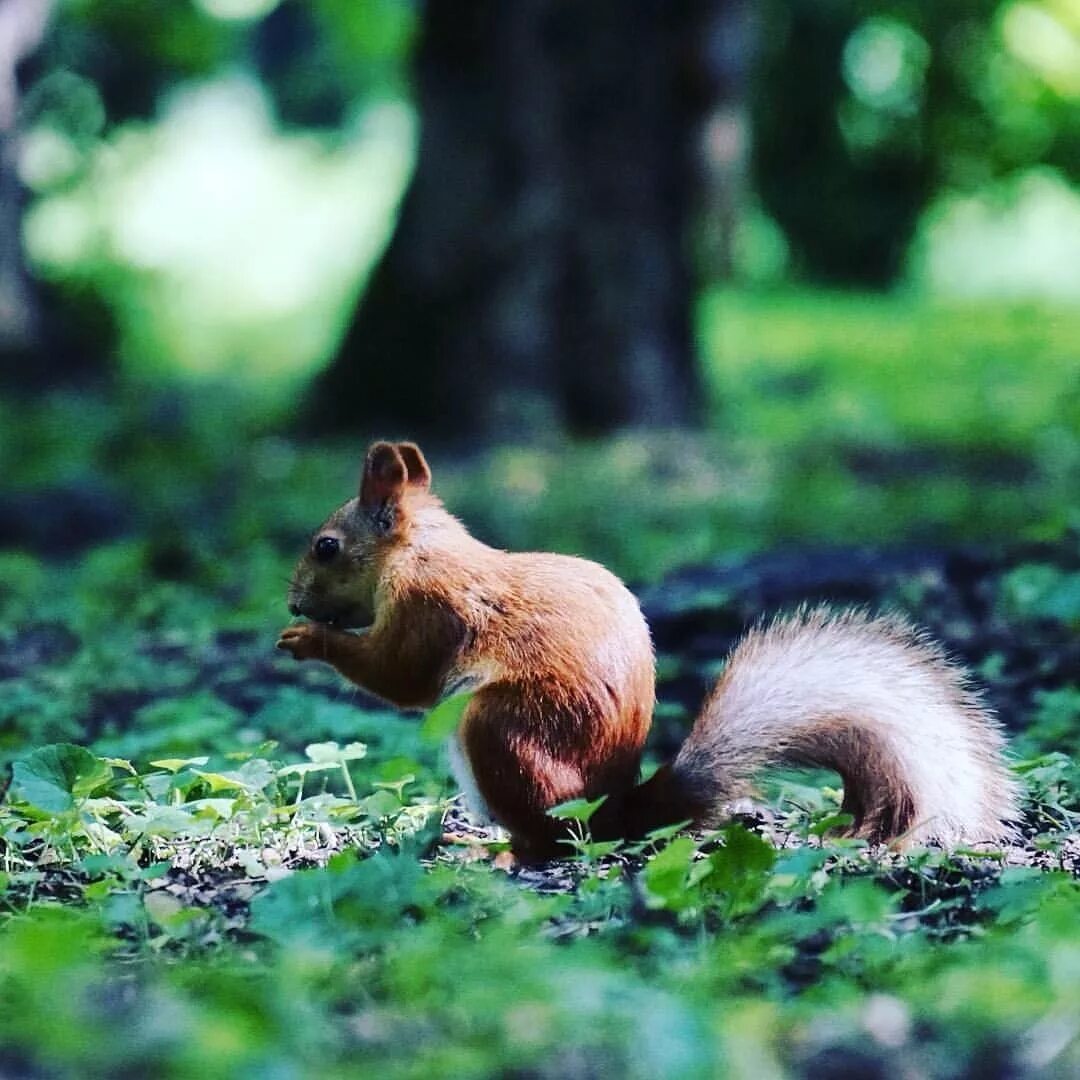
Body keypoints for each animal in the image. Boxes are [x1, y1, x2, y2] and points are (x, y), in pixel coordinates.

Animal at [278, 438, 1019, 859]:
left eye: (326, 546)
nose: (292, 604)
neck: (422, 552)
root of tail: (616, 812)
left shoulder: (429, 608)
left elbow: (399, 675)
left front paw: (309, 641)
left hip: (497, 734)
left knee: (550, 845)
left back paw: (493, 854)